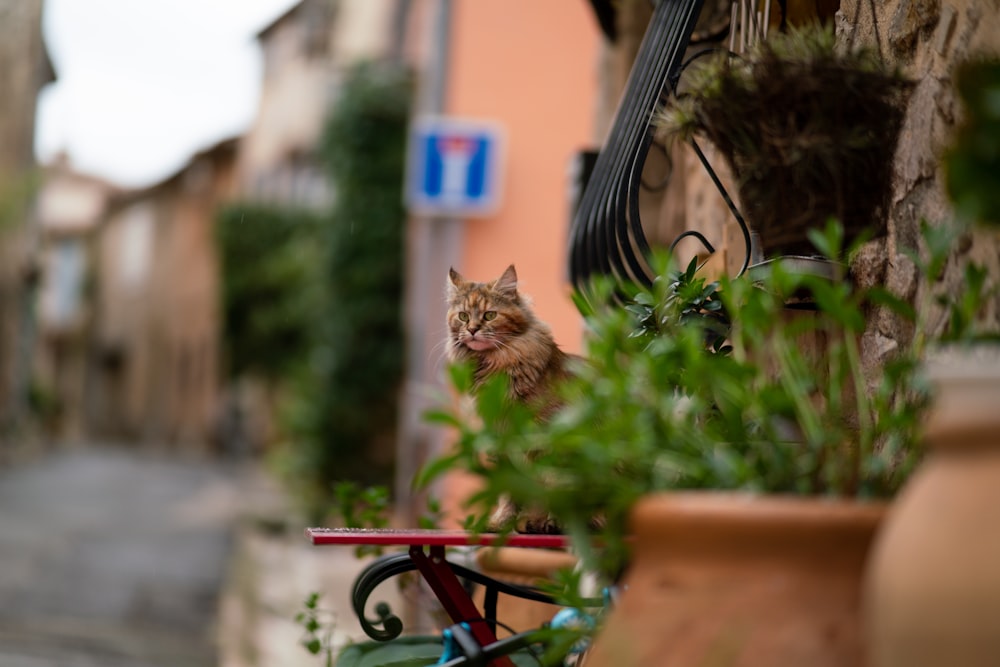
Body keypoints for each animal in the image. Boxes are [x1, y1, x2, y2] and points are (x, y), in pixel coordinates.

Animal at [446, 264, 580, 532]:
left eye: (489, 315)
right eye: (463, 316)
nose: (472, 330)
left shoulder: (550, 437)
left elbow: (555, 484)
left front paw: (554, 522)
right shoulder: (501, 437)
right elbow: (510, 491)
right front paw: (501, 522)